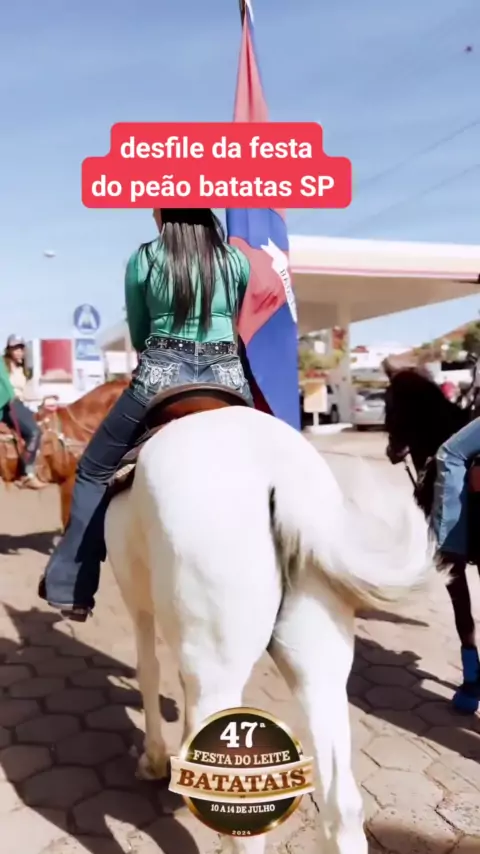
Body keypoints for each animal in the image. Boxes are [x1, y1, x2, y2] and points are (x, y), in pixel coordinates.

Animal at [102, 381, 435, 854]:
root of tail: (280, 472)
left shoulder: (137, 601)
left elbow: (147, 671)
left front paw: (154, 760)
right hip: (319, 658)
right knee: (342, 807)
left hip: (218, 666)